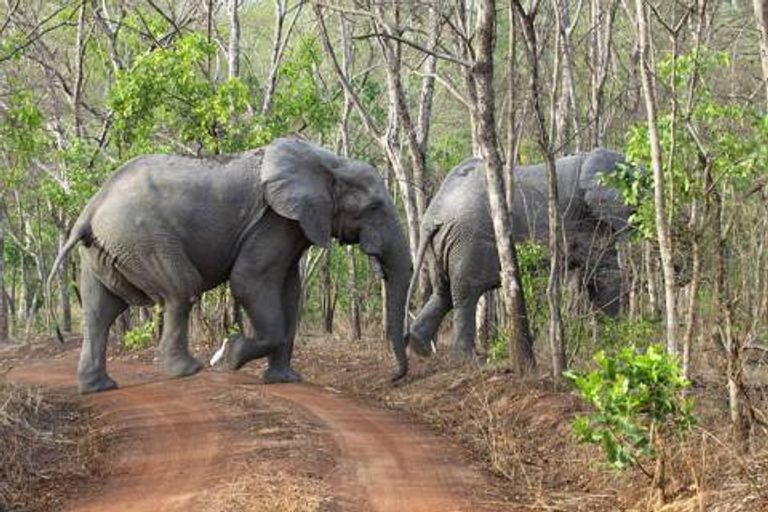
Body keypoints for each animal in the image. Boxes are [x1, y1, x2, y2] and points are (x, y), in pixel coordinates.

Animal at [51, 136, 414, 392]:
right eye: (374, 207)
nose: (394, 379)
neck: (329, 161)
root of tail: (92, 205)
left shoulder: (293, 225)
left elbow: (290, 292)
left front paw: (285, 380)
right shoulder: (275, 220)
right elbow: (249, 281)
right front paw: (229, 356)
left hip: (106, 248)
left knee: (101, 311)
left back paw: (99, 387)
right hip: (141, 237)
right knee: (181, 289)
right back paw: (189, 370)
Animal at [404, 146, 632, 358]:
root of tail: (433, 216)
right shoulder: (589, 220)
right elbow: (605, 274)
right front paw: (616, 341)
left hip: (442, 244)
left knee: (443, 292)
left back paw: (418, 346)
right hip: (468, 239)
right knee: (466, 292)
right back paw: (468, 358)